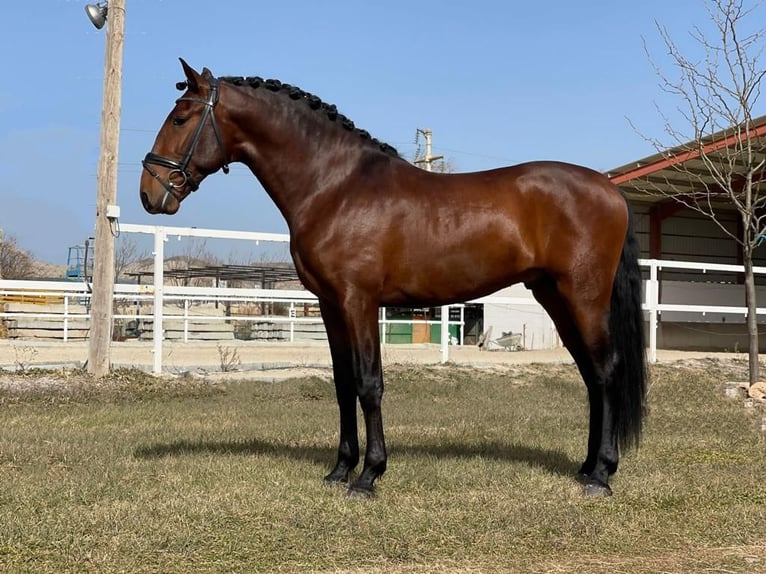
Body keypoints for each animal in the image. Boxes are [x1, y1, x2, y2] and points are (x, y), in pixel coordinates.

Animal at [140, 59, 648, 500]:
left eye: (181, 118)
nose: (150, 193)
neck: (335, 187)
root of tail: (610, 188)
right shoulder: (329, 305)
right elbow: (343, 383)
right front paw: (340, 470)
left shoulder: (357, 301)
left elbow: (369, 383)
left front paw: (369, 476)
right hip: (553, 295)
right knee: (590, 375)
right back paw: (586, 467)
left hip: (583, 295)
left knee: (605, 371)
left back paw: (601, 476)